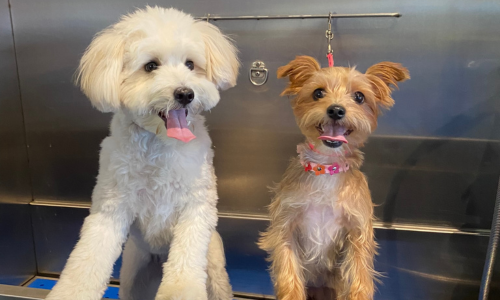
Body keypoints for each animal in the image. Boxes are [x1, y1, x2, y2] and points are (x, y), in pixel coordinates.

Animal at [47, 6, 240, 300]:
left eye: (190, 64)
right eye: (151, 66)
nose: (185, 93)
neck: (159, 144)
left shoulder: (196, 207)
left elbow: (185, 262)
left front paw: (179, 292)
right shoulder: (110, 207)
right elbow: (88, 257)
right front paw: (71, 292)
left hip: (214, 264)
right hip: (132, 275)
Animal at [260, 56, 408, 300]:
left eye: (359, 97)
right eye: (318, 93)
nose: (336, 110)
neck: (326, 167)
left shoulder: (358, 233)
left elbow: (359, 277)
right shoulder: (285, 226)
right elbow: (289, 275)